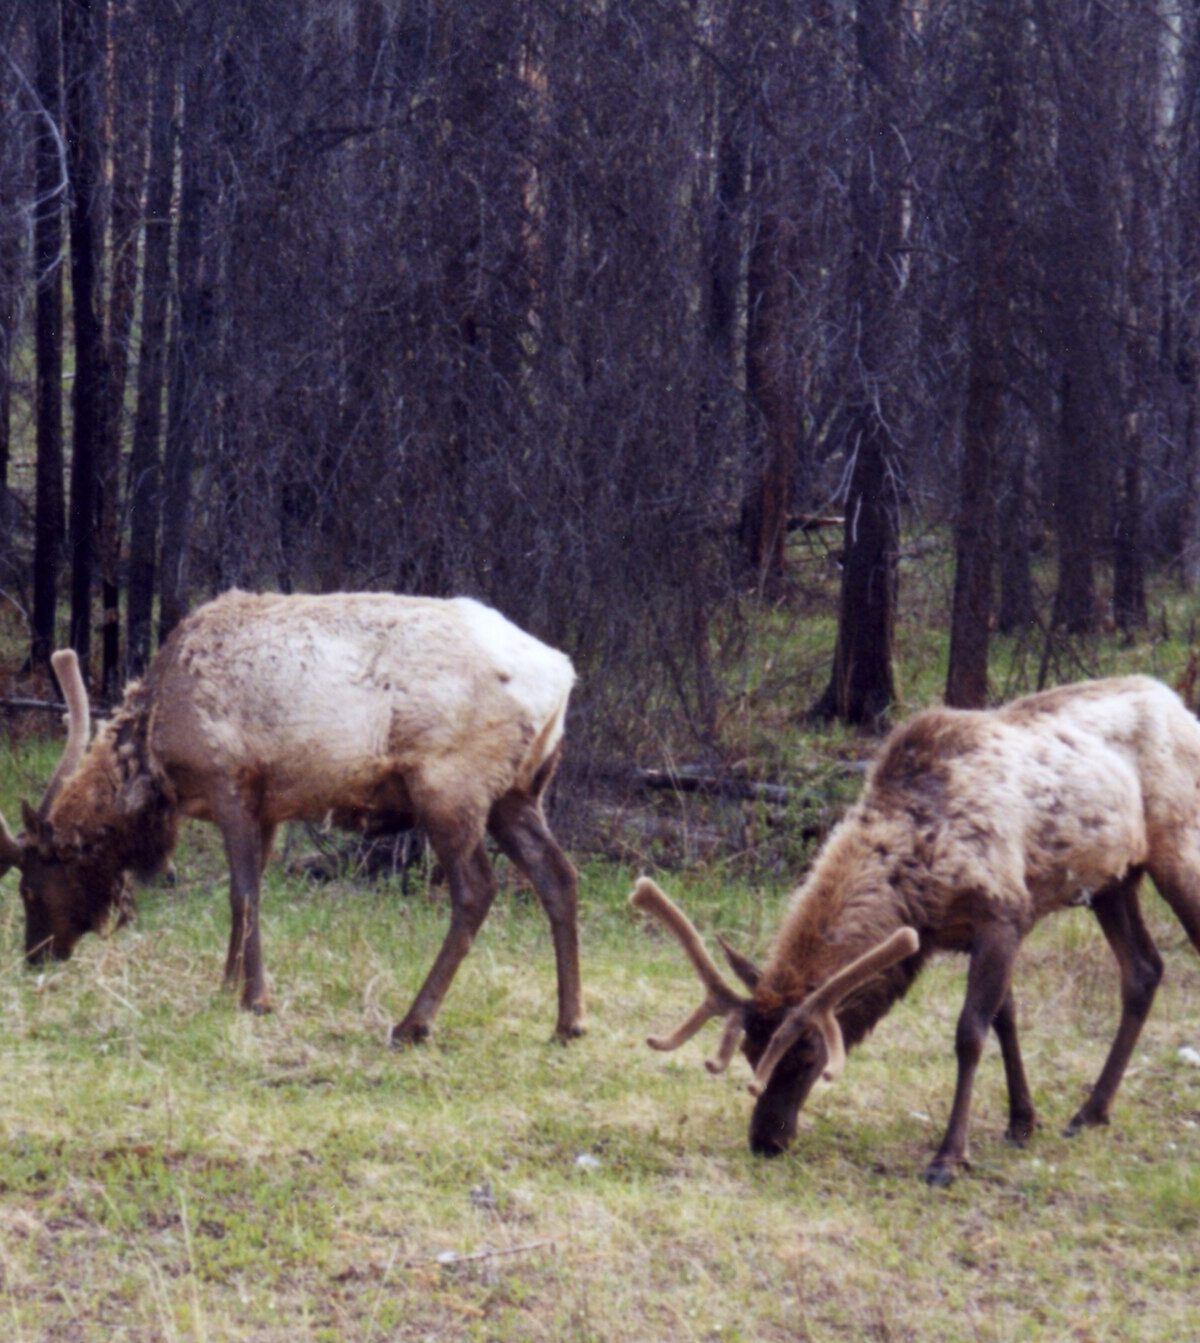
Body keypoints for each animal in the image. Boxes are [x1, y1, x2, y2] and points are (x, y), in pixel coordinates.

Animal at [0, 590, 583, 1045]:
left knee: (476, 889)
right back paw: (568, 1023)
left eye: (30, 888)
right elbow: (247, 893)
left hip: (450, 784)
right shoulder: (268, 807)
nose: (35, 957)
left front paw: (256, 998)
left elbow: (243, 893)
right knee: (558, 875)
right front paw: (226, 985)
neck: (157, 760)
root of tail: (562, 676)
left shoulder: (230, 782)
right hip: (517, 793)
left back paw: (412, 1025)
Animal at [631, 676, 1200, 1185]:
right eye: (750, 1052)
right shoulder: (979, 931)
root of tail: (1181, 706)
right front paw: (1022, 1123)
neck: (920, 881)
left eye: (811, 1054)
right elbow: (1006, 1019)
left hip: (1178, 848)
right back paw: (1091, 1111)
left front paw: (949, 1157)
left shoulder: (1003, 913)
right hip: (1113, 879)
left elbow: (971, 1032)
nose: (766, 1141)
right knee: (1144, 970)